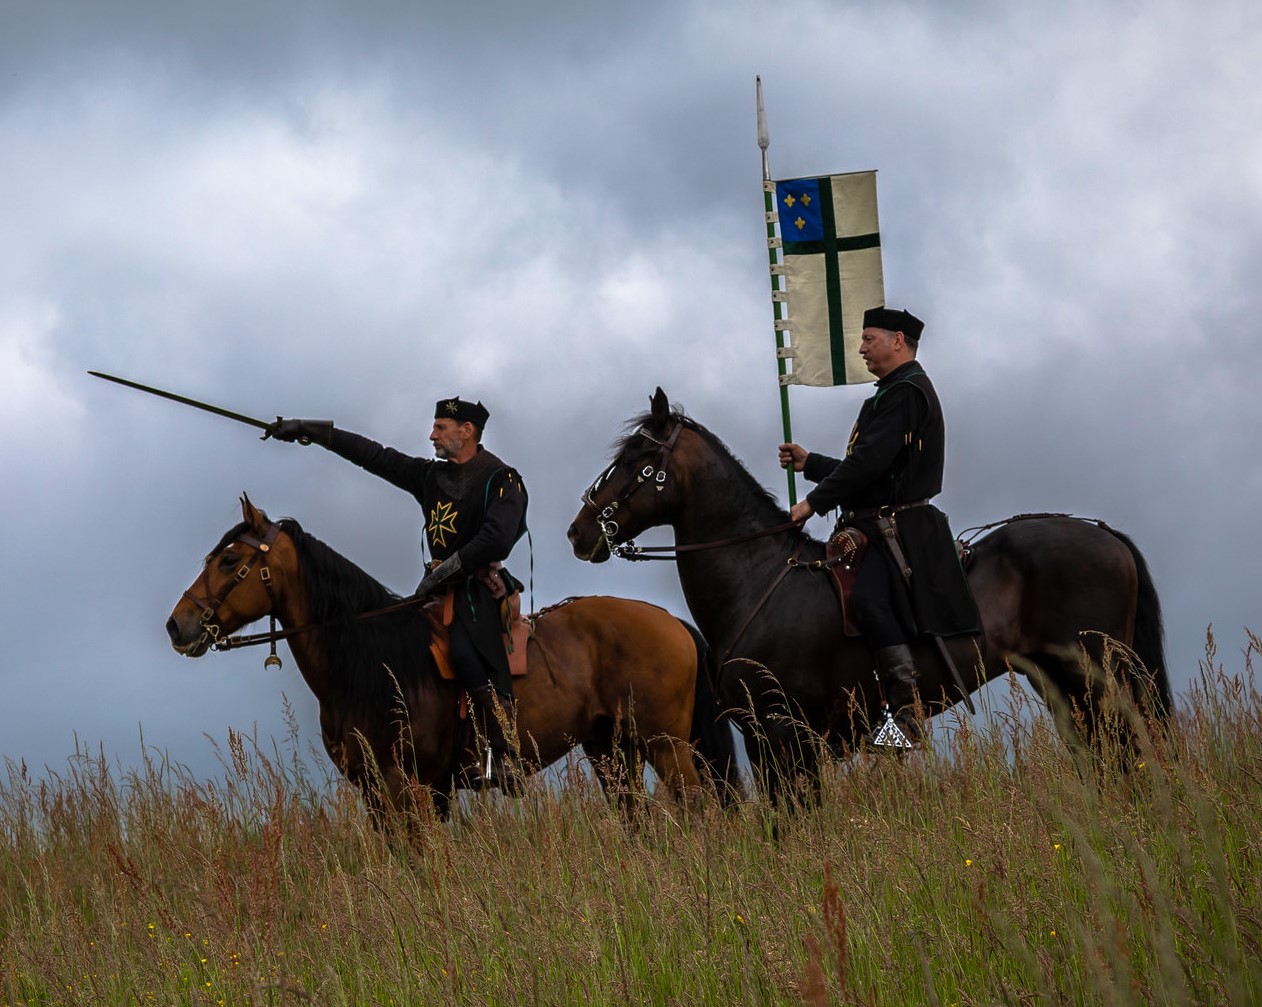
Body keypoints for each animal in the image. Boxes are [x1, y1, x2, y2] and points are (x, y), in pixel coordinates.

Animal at [166, 494, 737, 817]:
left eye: (230, 560)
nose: (178, 624)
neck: (373, 660)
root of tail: (669, 621)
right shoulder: (386, 794)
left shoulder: (409, 788)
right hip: (611, 751)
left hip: (666, 748)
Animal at [567, 391, 1166, 807]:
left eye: (638, 457)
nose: (579, 532)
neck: (759, 577)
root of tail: (1102, 532)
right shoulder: (772, 742)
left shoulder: (783, 735)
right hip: (1062, 684)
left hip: (1098, 678)